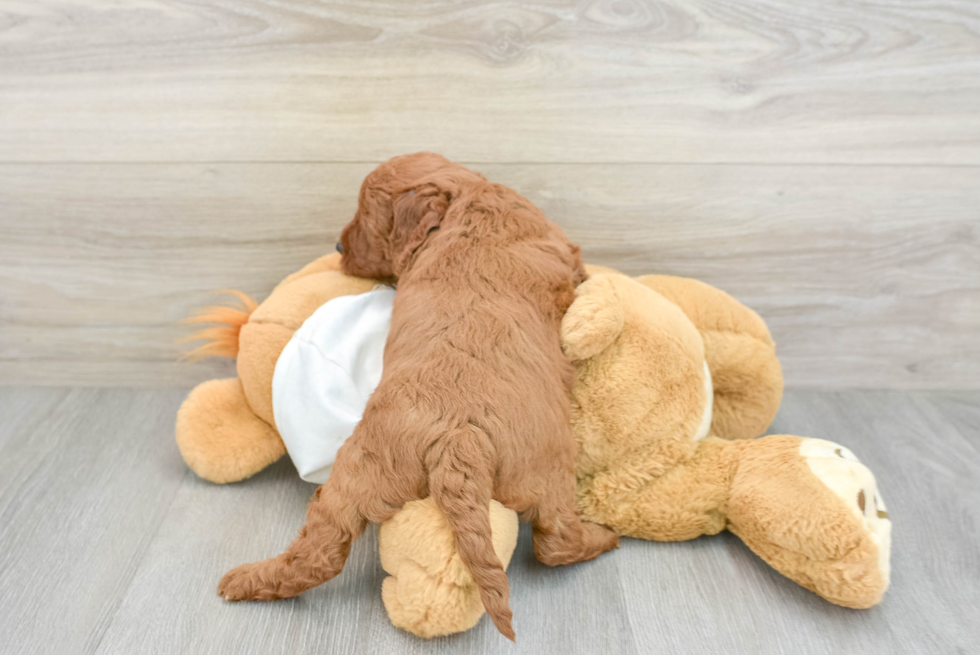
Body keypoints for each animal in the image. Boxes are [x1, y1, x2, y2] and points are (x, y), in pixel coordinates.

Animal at [222, 151, 620, 640]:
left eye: (366, 216)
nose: (337, 248)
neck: (467, 196)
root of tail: (459, 437)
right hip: (551, 469)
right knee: (556, 543)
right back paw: (604, 536)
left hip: (356, 474)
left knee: (318, 553)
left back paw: (242, 581)